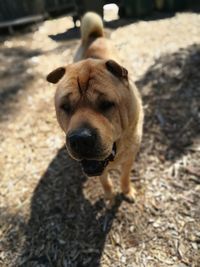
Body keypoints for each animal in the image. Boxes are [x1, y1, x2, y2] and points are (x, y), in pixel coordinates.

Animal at [47, 12, 144, 204]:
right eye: (65, 106)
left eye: (106, 104)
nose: (80, 139)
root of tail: (94, 35)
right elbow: (105, 181)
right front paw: (109, 196)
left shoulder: (130, 158)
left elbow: (125, 176)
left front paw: (127, 191)